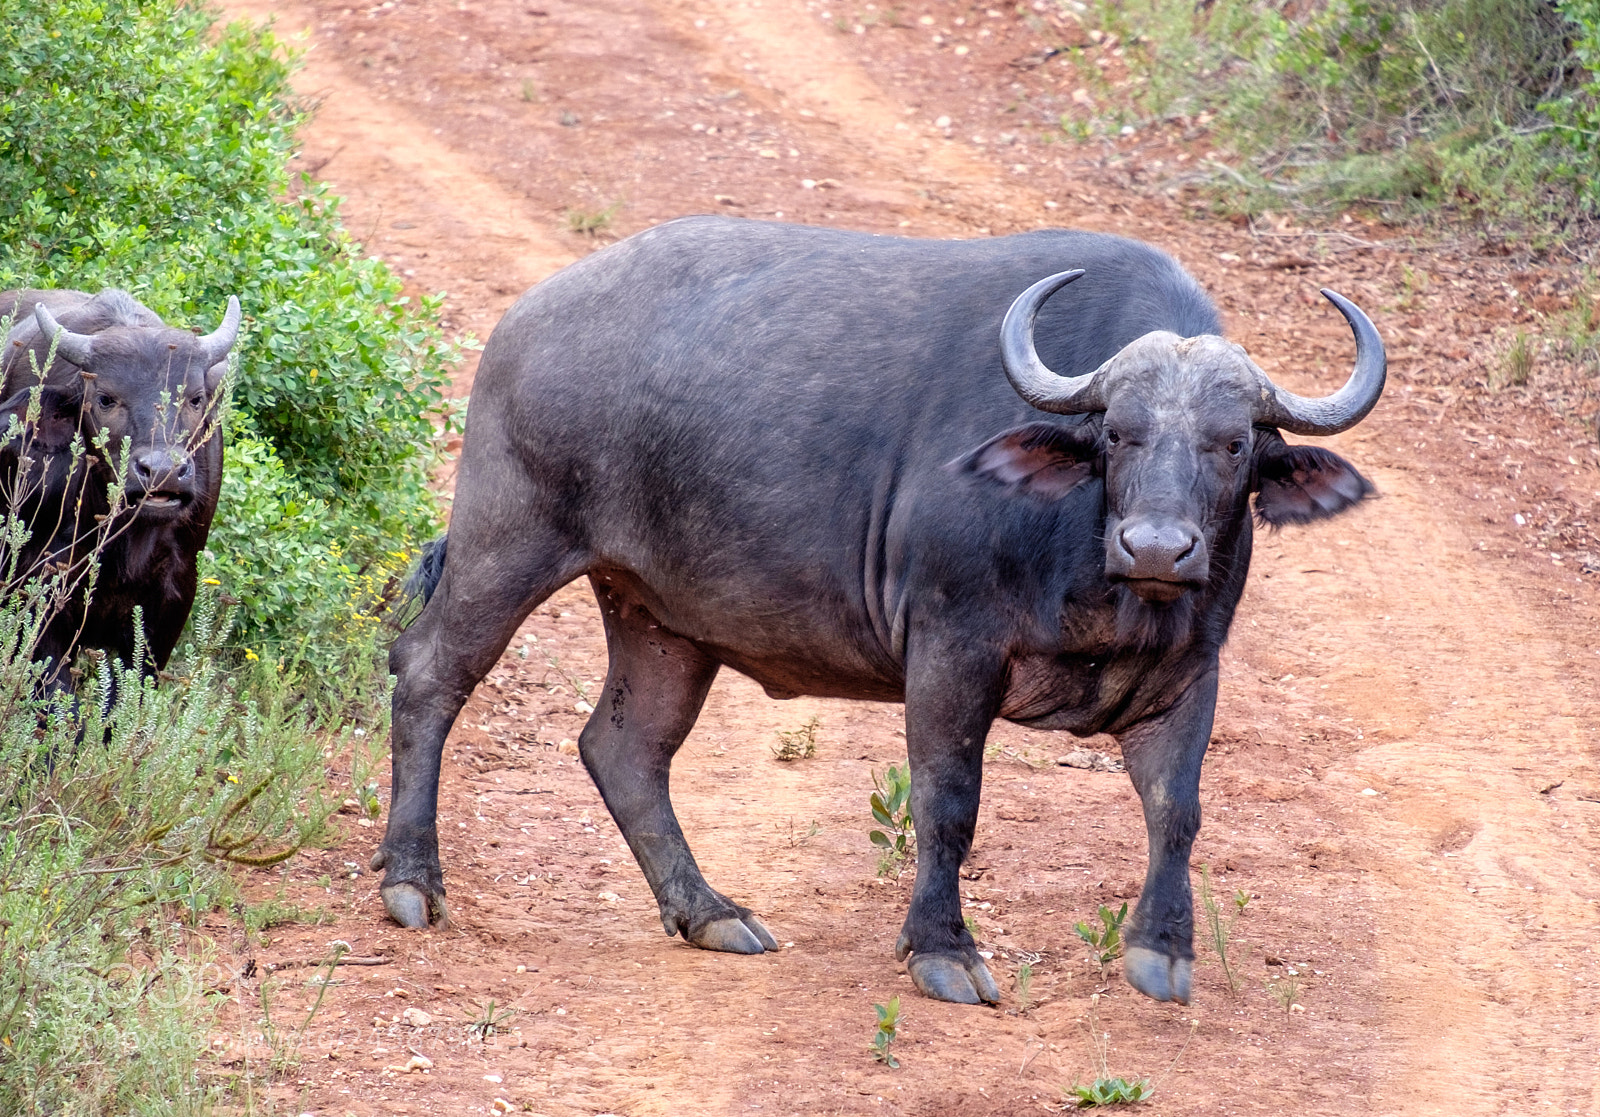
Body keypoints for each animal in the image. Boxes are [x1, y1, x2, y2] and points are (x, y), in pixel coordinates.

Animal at [377, 218, 1383, 1006]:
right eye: (1118, 433)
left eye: (1233, 444)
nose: (1158, 547)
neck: (1099, 570)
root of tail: (524, 321)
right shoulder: (951, 648)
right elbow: (948, 803)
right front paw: (943, 952)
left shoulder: (1190, 673)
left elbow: (1178, 811)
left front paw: (1162, 951)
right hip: (510, 537)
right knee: (428, 672)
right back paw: (412, 884)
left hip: (662, 617)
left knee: (624, 748)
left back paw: (710, 912)